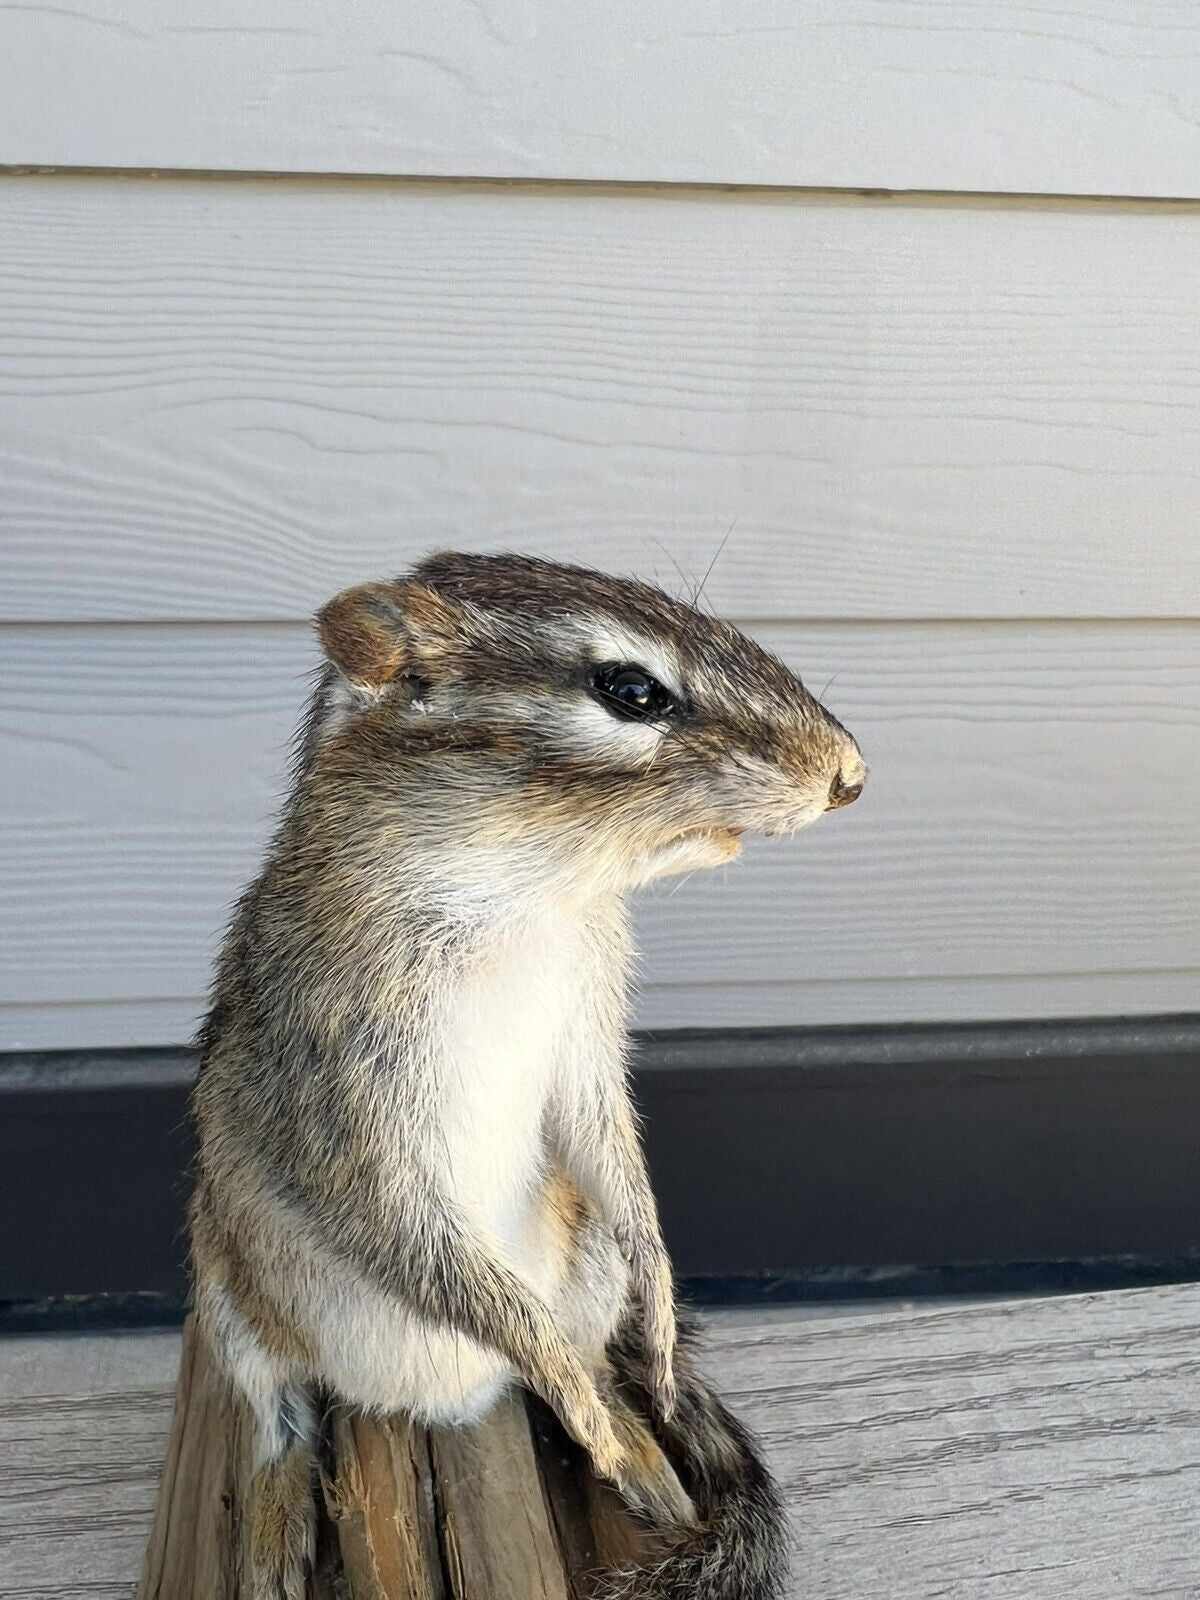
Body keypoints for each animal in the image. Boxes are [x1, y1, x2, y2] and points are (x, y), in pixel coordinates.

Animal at [190, 550, 866, 1600]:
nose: (850, 774)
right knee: (282, 1424)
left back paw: (641, 1456)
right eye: (631, 690)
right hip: (228, 1305)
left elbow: (612, 1146)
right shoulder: (348, 1110)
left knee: (593, 1344)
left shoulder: (587, 1042)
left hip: (587, 1265)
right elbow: (415, 1240)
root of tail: (441, 1404)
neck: (519, 901)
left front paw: (656, 1330)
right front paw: (568, 1387)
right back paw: (273, 1533)